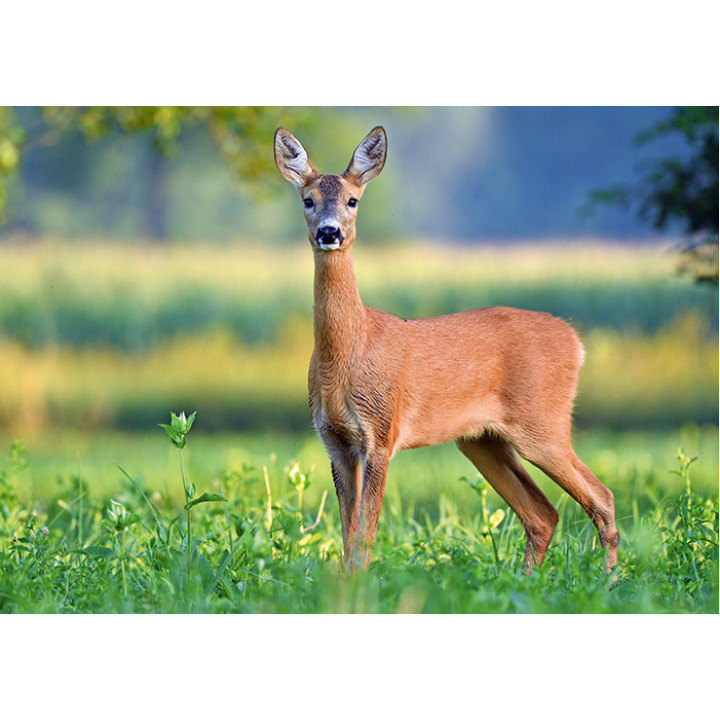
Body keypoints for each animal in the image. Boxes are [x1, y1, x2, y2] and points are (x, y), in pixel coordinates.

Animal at [274, 125, 619, 574]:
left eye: (352, 200)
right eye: (308, 200)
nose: (329, 232)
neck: (349, 352)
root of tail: (575, 342)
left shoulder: (381, 432)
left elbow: (364, 537)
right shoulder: (335, 440)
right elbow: (347, 540)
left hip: (543, 421)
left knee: (602, 498)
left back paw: (609, 581)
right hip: (481, 439)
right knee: (543, 514)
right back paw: (528, 581)